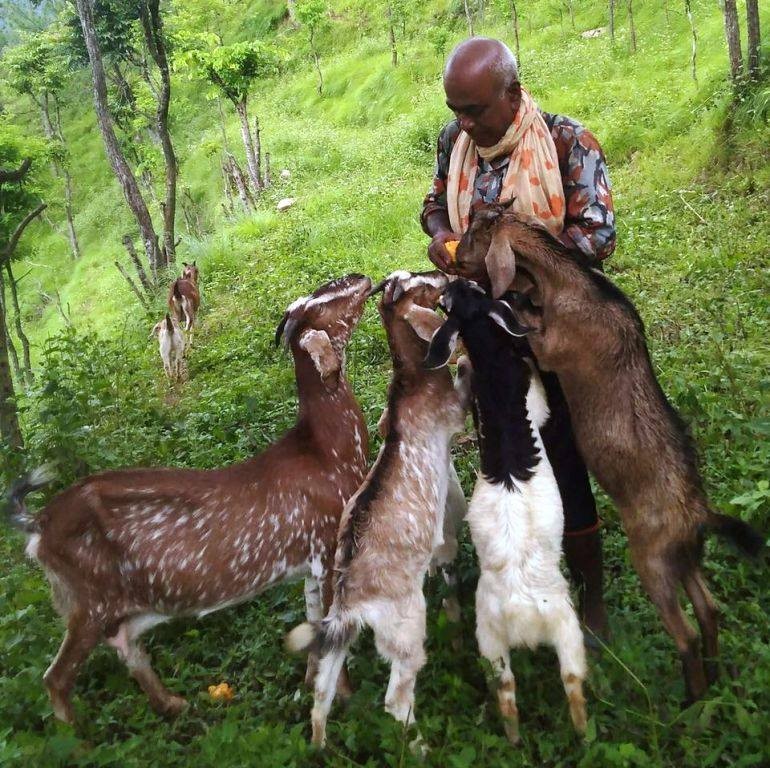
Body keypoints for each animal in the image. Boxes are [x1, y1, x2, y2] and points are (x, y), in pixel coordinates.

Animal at [5, 272, 372, 724]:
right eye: (324, 300)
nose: (362, 278)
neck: (327, 453)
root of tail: (38, 525)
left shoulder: (310, 562)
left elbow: (312, 620)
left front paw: (309, 683)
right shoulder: (328, 544)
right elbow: (331, 635)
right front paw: (344, 698)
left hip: (123, 602)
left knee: (124, 643)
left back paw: (174, 704)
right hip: (88, 600)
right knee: (56, 677)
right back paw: (81, 734)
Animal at [286, 268, 468, 744]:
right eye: (423, 285)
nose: (444, 274)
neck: (412, 378)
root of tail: (352, 602)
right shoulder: (453, 412)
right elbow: (465, 379)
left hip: (338, 638)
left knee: (323, 693)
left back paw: (321, 744)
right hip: (405, 627)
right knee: (396, 698)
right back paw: (420, 746)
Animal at [424, 280, 584, 740]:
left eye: (462, 293)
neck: (494, 371)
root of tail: (521, 610)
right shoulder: (537, 398)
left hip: (491, 639)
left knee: (506, 690)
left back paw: (513, 739)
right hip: (565, 626)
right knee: (572, 682)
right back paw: (585, 735)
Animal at [452, 202, 764, 704]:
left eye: (478, 232)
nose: (455, 255)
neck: (574, 286)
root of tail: (698, 514)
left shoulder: (552, 347)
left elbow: (529, 330)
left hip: (651, 560)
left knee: (686, 633)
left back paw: (690, 699)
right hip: (682, 559)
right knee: (709, 609)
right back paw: (714, 682)